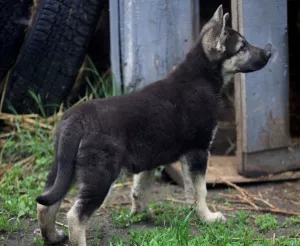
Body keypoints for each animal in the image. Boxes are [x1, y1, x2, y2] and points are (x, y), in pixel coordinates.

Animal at [35, 4, 272, 245]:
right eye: (242, 47)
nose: (269, 53)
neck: (201, 76)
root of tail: (76, 120)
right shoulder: (197, 152)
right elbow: (199, 191)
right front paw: (208, 218)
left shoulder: (150, 157)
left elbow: (141, 187)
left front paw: (140, 213)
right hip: (100, 174)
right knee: (75, 215)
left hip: (64, 168)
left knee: (45, 205)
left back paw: (52, 236)